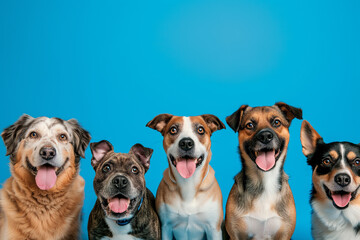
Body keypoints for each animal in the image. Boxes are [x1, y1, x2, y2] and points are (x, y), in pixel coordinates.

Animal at [225, 102, 300, 239]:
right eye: (250, 125)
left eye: (276, 122)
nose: (265, 136)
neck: (264, 180)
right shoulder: (236, 233)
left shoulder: (284, 233)